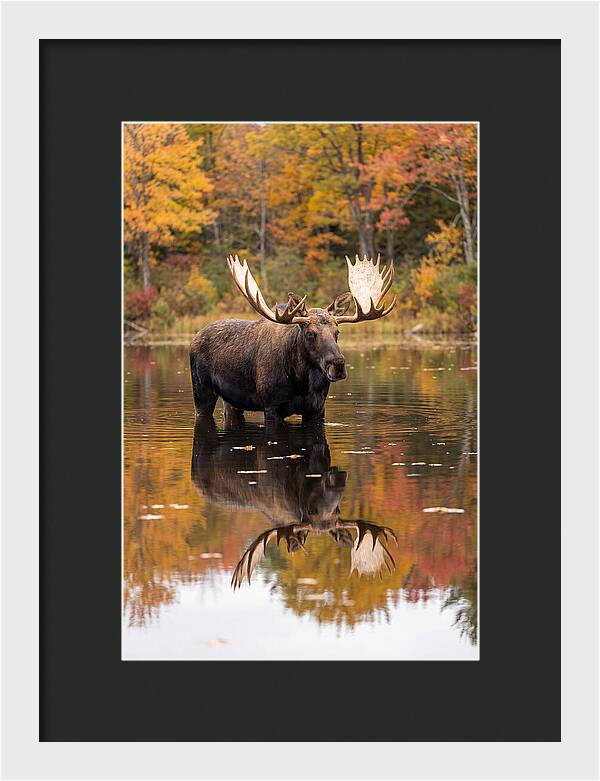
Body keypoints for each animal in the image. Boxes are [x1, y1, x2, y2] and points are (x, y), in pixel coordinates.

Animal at [189, 254, 396, 425]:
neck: (301, 381)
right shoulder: (271, 406)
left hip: (232, 400)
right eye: (310, 333)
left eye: (337, 332)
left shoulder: (317, 408)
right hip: (201, 391)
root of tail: (195, 336)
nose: (337, 364)